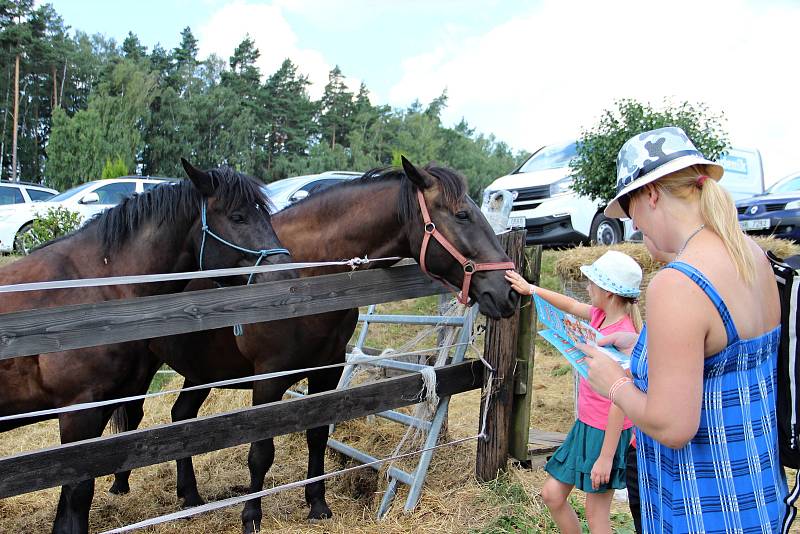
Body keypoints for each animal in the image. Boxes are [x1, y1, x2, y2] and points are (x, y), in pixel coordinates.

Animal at [143, 159, 520, 534]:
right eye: (462, 215)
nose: (509, 291)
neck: (308, 278)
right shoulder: (268, 378)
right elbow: (261, 451)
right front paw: (251, 517)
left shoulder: (327, 371)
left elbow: (317, 436)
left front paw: (317, 505)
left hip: (201, 373)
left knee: (182, 418)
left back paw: (190, 497)